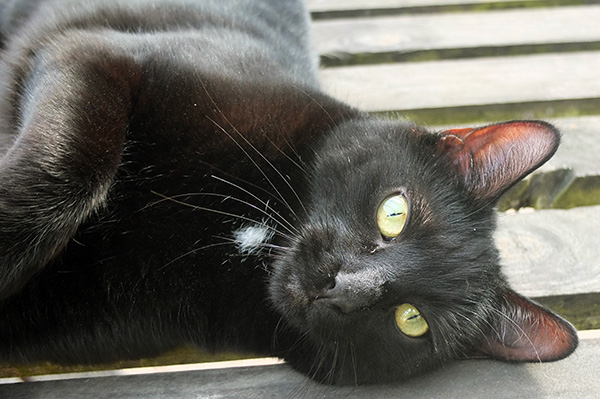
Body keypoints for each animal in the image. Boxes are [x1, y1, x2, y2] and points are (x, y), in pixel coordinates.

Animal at [0, 0, 576, 386]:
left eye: (412, 320)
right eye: (394, 212)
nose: (341, 285)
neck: (249, 241)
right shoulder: (98, 54)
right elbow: (68, 169)